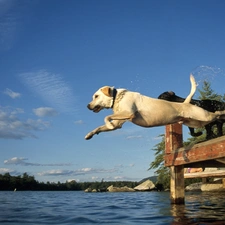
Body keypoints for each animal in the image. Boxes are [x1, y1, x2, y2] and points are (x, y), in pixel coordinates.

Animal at [85, 74, 225, 140]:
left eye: (96, 96)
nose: (87, 106)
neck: (117, 97)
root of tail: (185, 103)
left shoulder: (129, 113)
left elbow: (107, 117)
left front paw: (107, 124)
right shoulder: (118, 124)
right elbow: (100, 127)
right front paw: (89, 135)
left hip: (204, 116)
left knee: (217, 114)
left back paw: (222, 112)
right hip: (196, 122)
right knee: (210, 123)